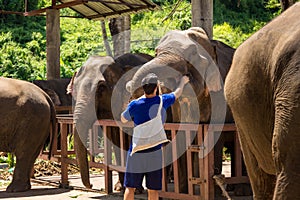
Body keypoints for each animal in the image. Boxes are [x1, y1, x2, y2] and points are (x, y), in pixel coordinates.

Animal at [67, 52, 154, 191]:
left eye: (101, 88)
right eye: (73, 90)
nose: (91, 185)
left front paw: (136, 189)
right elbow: (115, 140)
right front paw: (120, 187)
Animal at [124, 26, 237, 194]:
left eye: (192, 53)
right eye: (156, 53)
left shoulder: (219, 96)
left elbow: (215, 136)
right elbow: (181, 134)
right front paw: (184, 192)